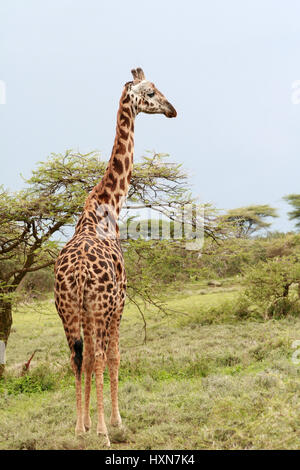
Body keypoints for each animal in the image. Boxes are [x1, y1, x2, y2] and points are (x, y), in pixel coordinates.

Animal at [54, 68, 177, 446]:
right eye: (150, 92)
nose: (172, 109)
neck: (108, 205)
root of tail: (79, 272)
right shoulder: (119, 301)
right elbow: (115, 357)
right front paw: (115, 422)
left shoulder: (90, 310)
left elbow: (90, 360)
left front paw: (86, 425)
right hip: (98, 306)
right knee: (97, 355)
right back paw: (104, 432)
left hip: (68, 309)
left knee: (77, 357)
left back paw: (80, 429)